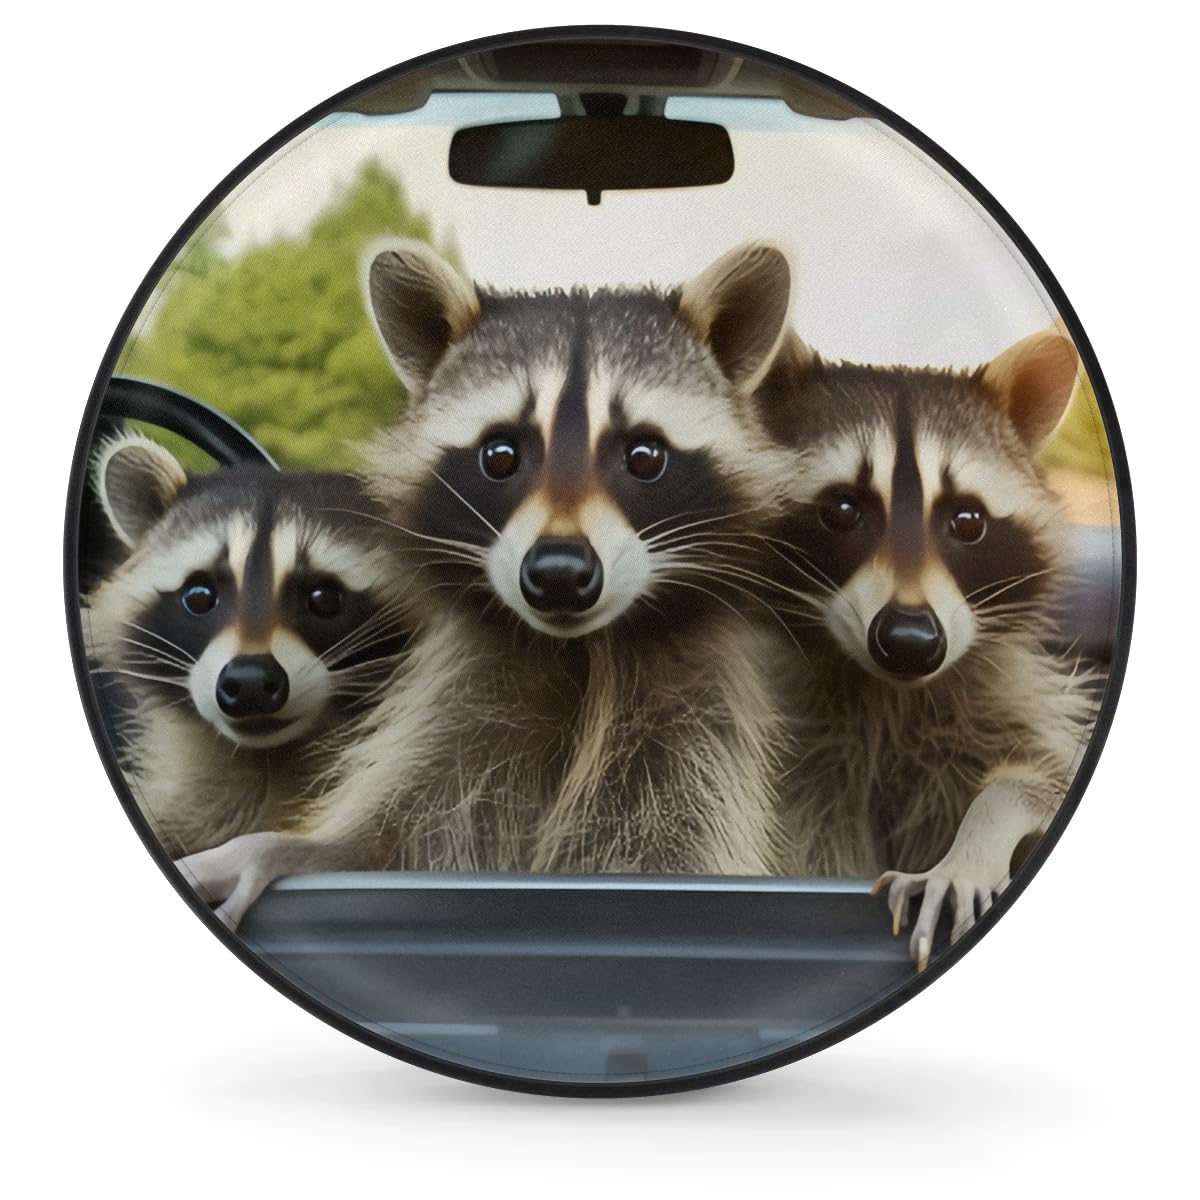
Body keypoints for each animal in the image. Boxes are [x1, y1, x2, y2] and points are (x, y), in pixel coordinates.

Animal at [176, 240, 801, 928]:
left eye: (644, 456)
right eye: (501, 455)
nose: (560, 574)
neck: (587, 648)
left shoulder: (697, 724)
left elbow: (671, 844)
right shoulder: (468, 698)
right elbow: (397, 835)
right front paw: (280, 848)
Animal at [754, 326, 1098, 969]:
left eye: (967, 521)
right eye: (843, 510)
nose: (910, 642)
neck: (886, 691)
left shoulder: (1005, 705)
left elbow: (1040, 778)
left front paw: (970, 850)